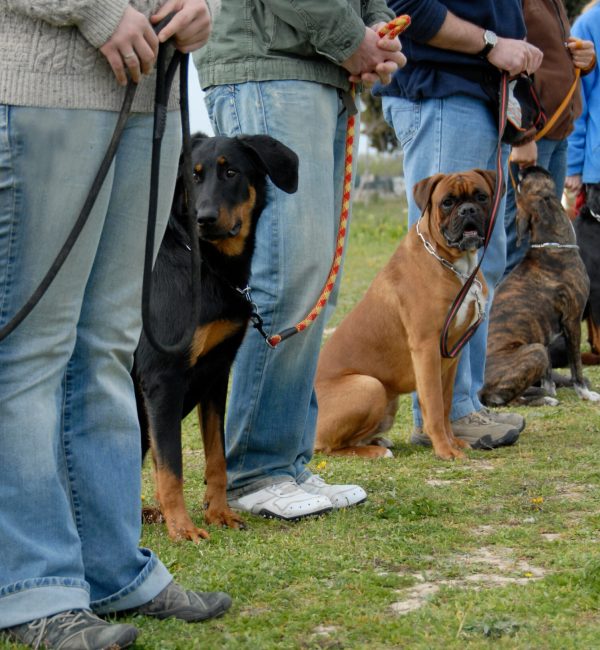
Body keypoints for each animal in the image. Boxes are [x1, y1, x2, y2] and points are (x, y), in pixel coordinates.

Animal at [134, 129, 298, 540]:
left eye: (231, 173)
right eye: (192, 177)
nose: (204, 219)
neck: (205, 263)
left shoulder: (216, 372)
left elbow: (216, 458)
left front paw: (219, 513)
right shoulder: (162, 378)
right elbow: (171, 466)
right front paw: (183, 528)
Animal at [314, 170, 496, 458]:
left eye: (481, 196)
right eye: (447, 202)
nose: (468, 209)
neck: (453, 264)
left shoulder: (451, 355)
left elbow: (445, 404)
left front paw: (453, 442)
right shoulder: (426, 348)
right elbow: (434, 406)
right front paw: (445, 450)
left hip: (388, 402)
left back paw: (378, 442)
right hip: (369, 386)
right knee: (329, 447)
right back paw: (375, 452)